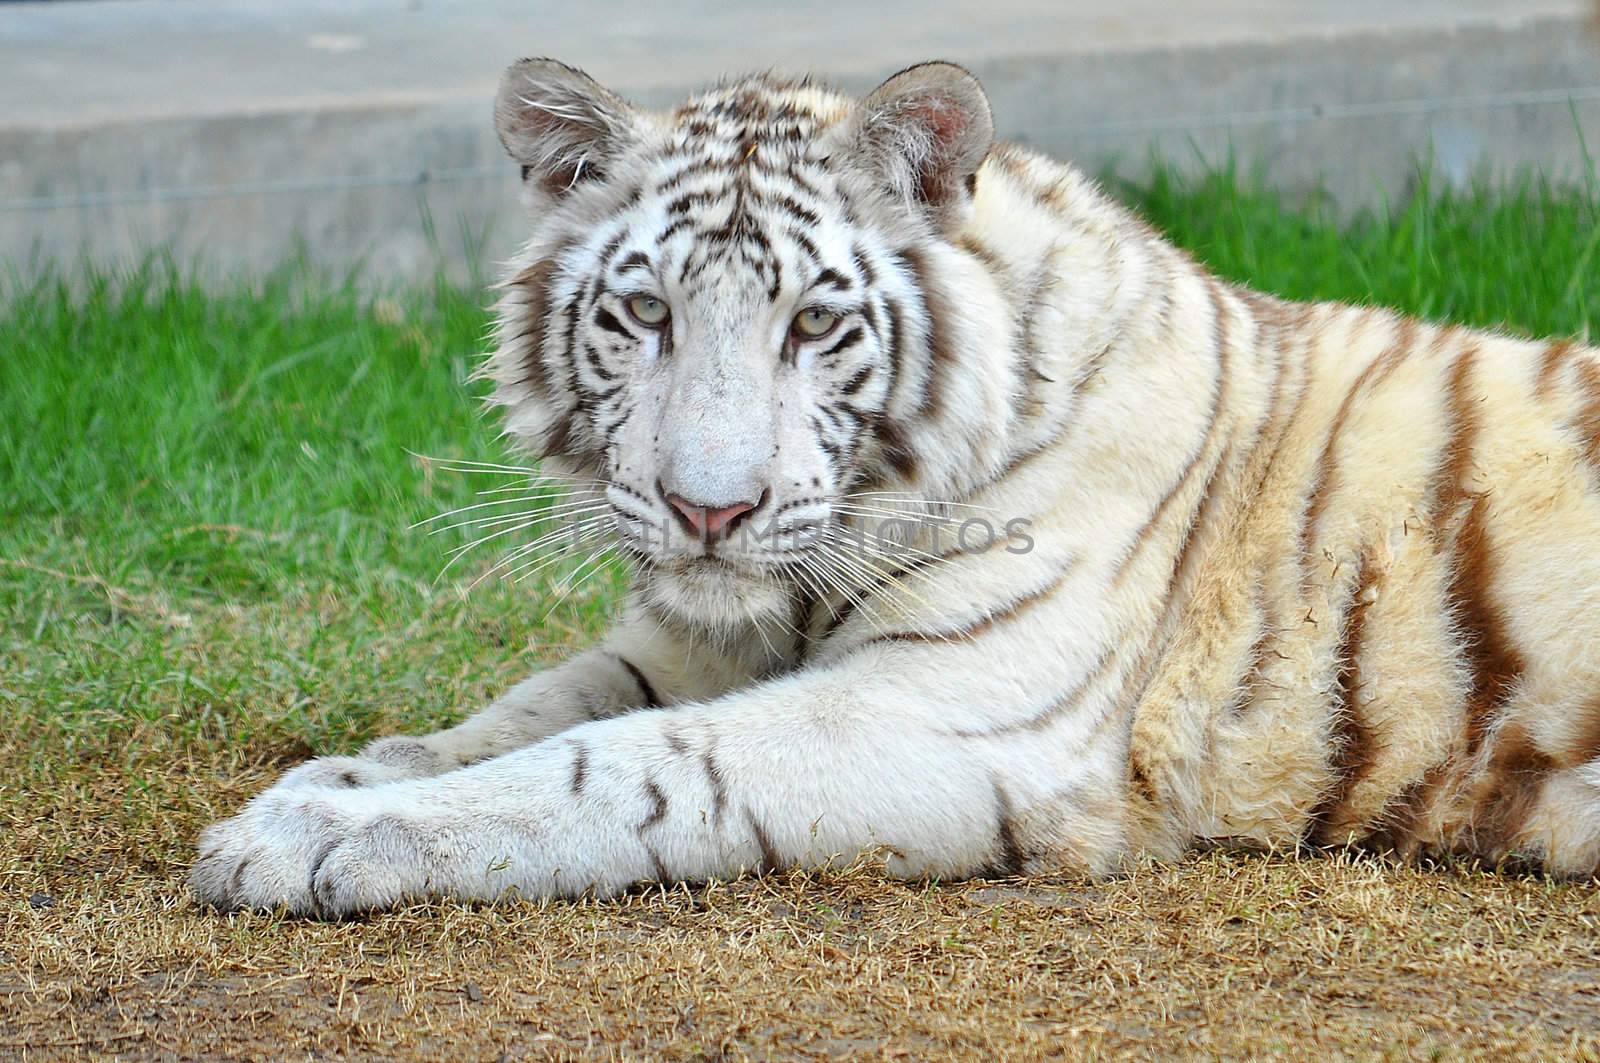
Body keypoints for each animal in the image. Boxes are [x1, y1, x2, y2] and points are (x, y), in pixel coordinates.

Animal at [190, 56, 1600, 915]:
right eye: (644, 313)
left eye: (813, 324)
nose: (710, 511)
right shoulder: (682, 643)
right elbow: (521, 712)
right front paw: (336, 780)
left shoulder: (948, 714)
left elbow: (622, 765)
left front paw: (312, 839)